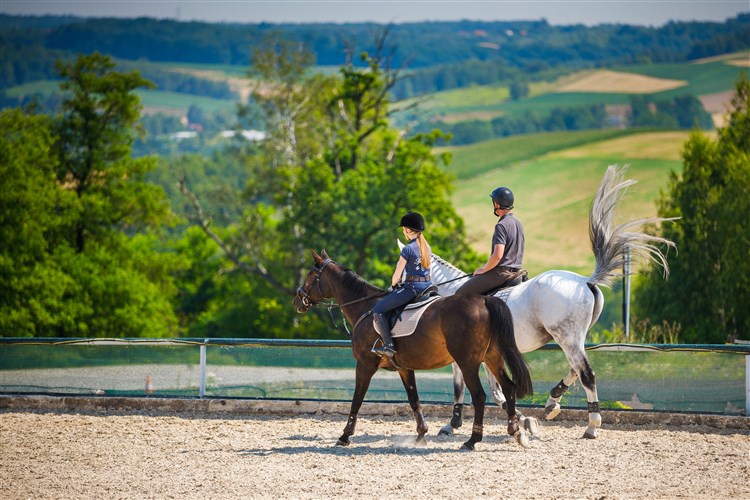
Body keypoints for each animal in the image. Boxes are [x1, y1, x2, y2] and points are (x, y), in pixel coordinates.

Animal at [294, 249, 536, 450]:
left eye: (310, 276)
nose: (297, 301)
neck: (366, 307)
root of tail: (484, 301)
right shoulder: (404, 367)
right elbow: (414, 399)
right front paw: (421, 434)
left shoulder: (365, 363)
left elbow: (357, 398)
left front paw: (345, 436)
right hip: (492, 357)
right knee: (509, 388)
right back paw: (516, 432)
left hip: (468, 363)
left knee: (480, 396)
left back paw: (473, 440)